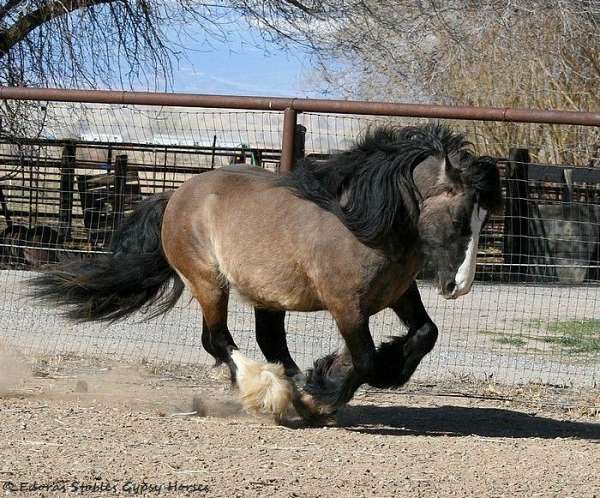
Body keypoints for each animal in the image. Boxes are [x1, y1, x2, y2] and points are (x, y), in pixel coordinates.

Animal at [31, 124, 502, 424]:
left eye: (485, 219)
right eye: (460, 219)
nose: (458, 286)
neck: (360, 224)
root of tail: (176, 195)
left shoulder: (399, 293)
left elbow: (424, 334)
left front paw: (334, 376)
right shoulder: (345, 306)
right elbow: (365, 359)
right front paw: (325, 390)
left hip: (267, 297)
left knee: (268, 340)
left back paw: (294, 392)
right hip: (208, 283)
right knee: (218, 340)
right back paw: (271, 392)